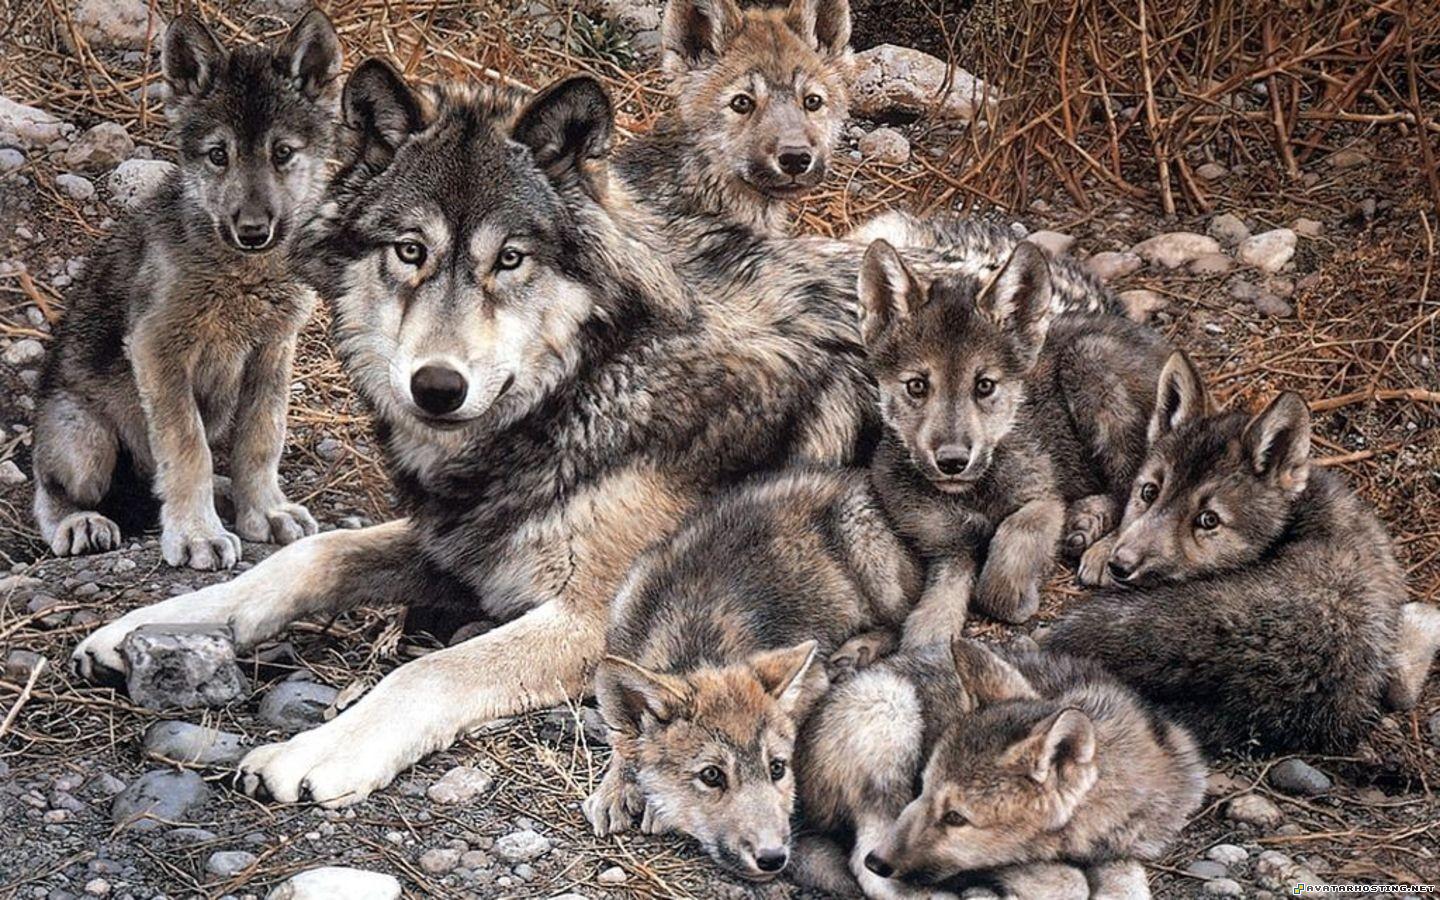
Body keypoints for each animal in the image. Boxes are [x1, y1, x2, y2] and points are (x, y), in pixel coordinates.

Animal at [31, 11, 340, 569]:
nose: (253, 231)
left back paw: (225, 496)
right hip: (83, 442)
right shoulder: (157, 349)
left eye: (282, 153)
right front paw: (197, 534)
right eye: (218, 155)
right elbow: (186, 448)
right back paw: (80, 522)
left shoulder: (273, 350)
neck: (242, 275)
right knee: (51, 490)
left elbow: (261, 440)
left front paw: (265, 510)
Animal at [70, 66, 877, 807]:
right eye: (410, 251)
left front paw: (319, 749)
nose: (436, 386)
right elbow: (307, 557)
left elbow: (426, 670)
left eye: (510, 259)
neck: (597, 380)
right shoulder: (461, 540)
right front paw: (151, 625)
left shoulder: (598, 621)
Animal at [583, 469, 920, 880]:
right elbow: (622, 740)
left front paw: (653, 807)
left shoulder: (812, 680)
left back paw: (856, 652)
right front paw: (615, 789)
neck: (692, 638)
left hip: (869, 555)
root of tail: (856, 476)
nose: (772, 857)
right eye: (711, 775)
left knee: (902, 620)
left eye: (777, 768)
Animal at [795, 639, 1204, 898]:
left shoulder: (1124, 847)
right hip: (889, 708)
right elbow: (1064, 882)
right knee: (864, 867)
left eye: (956, 817)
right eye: (921, 789)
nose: (879, 862)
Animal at [857, 238, 1170, 639]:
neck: (973, 493)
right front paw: (928, 636)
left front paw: (1018, 598)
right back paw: (1085, 521)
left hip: (1090, 362)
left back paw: (1101, 547)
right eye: (917, 385)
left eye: (984, 385)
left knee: (1134, 482)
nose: (953, 462)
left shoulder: (1043, 500)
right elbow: (936, 607)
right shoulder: (948, 545)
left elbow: (1008, 552)